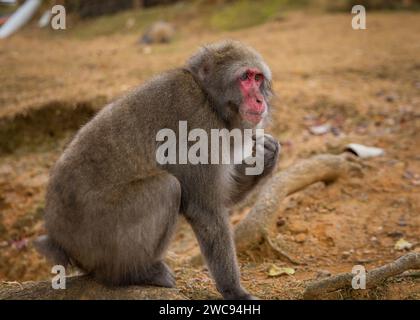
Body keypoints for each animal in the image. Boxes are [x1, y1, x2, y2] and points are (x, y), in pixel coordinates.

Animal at [35, 40, 278, 300]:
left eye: (258, 78)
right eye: (245, 77)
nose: (259, 101)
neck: (208, 98)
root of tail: (59, 238)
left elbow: (221, 197)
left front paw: (266, 154)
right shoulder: (197, 122)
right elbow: (205, 208)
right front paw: (235, 291)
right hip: (96, 235)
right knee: (167, 187)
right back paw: (134, 274)